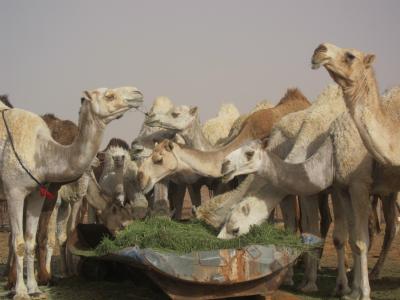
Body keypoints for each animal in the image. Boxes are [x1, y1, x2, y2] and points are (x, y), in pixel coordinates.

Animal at [0, 85, 143, 298]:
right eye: (109, 95)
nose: (137, 92)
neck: (43, 152)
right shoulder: (18, 192)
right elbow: (25, 241)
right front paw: (26, 288)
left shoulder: (40, 194)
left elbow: (34, 239)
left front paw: (36, 287)